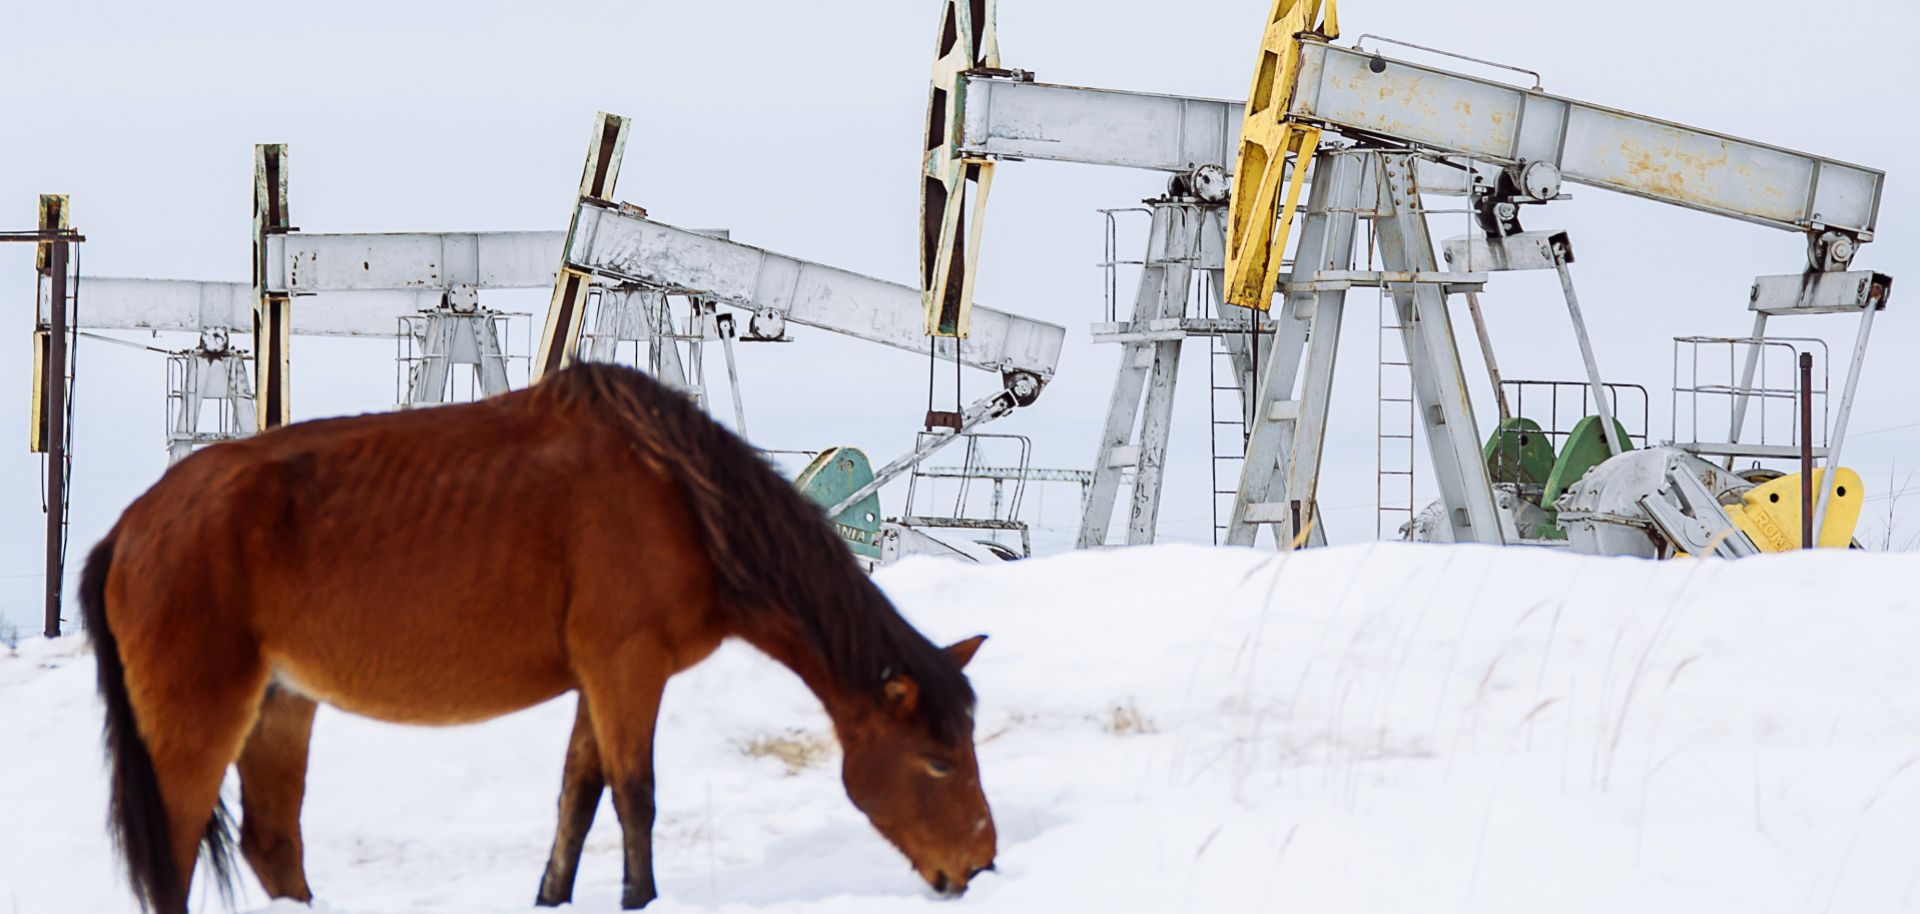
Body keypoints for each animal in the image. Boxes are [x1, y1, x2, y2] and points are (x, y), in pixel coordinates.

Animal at [82, 360, 998, 910]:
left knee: (275, 846)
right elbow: (634, 797)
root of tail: (129, 527)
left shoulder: (600, 677)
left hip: (282, 706)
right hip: (196, 720)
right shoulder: (627, 667)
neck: (679, 496)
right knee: (175, 855)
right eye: (937, 760)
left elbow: (577, 798)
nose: (981, 864)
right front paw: (640, 897)